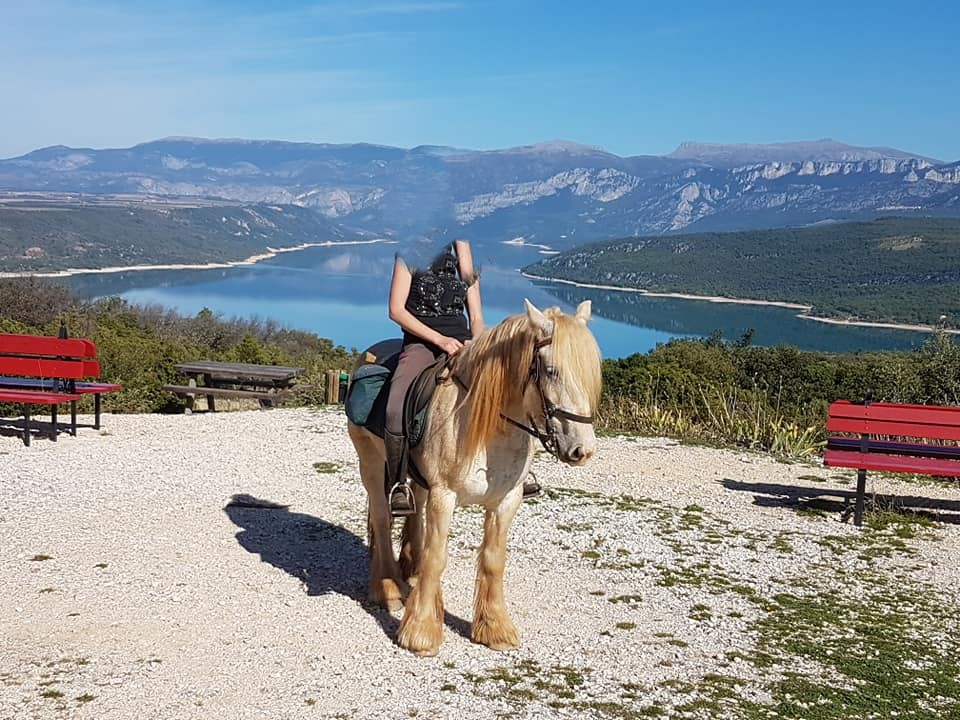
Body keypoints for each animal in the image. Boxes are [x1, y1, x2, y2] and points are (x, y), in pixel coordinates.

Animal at [346, 299, 602, 656]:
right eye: (551, 371)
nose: (583, 450)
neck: (489, 426)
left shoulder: (506, 500)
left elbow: (493, 560)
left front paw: (495, 629)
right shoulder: (444, 495)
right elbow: (437, 557)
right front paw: (421, 632)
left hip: (418, 481)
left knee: (415, 518)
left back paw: (411, 573)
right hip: (370, 463)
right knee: (383, 519)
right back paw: (389, 587)